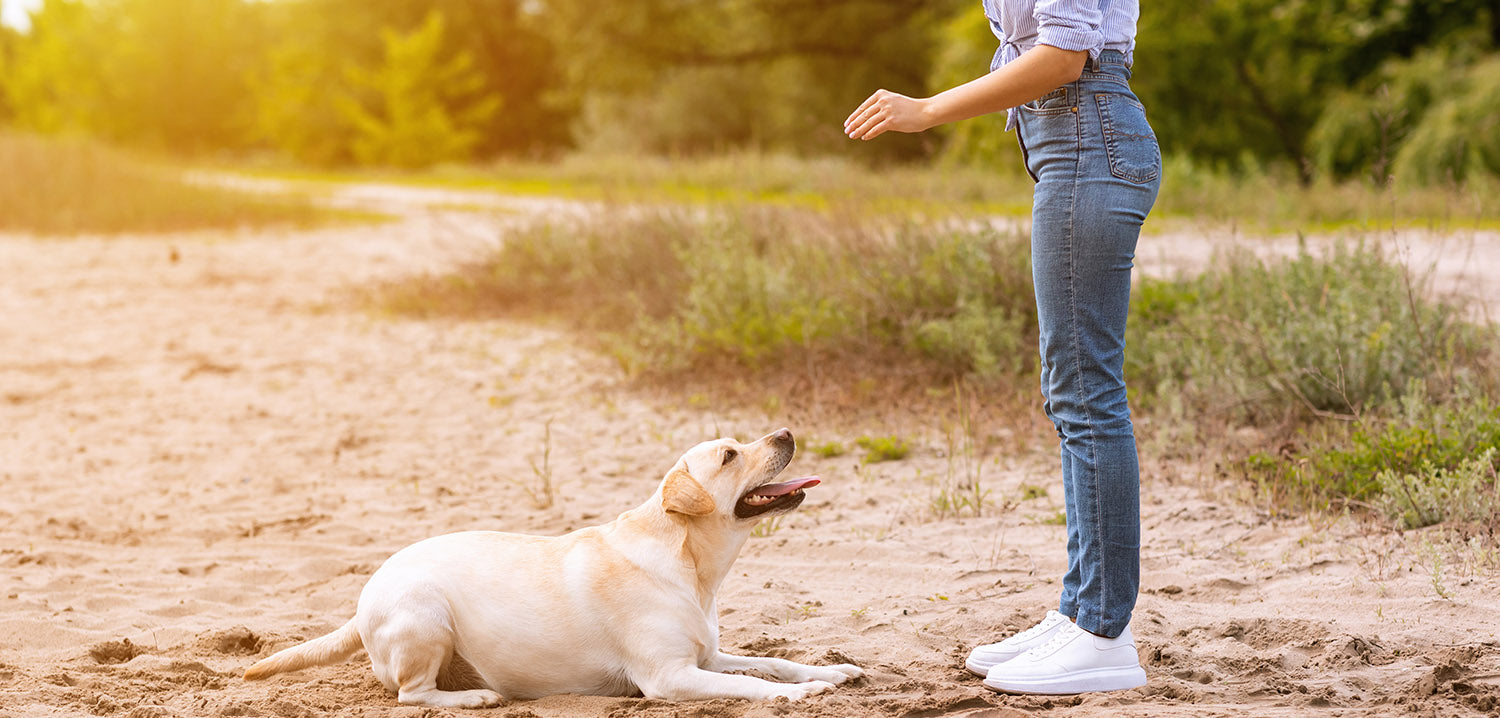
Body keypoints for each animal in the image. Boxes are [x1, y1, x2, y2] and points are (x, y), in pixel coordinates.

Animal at [243, 428, 858, 704]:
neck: (691, 565)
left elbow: (771, 662)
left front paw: (828, 672)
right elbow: (753, 686)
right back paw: (474, 698)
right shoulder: (670, 676)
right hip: (425, 615)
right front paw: (802, 695)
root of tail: (366, 593)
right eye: (730, 456)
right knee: (412, 696)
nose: (787, 431)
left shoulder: (708, 655)